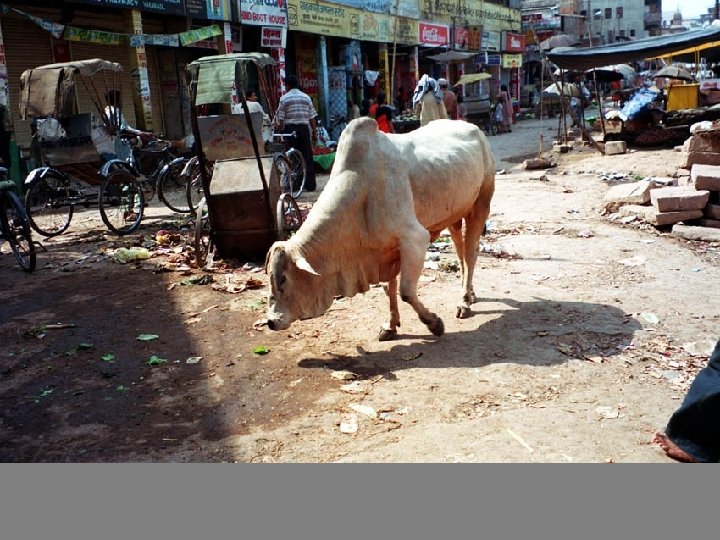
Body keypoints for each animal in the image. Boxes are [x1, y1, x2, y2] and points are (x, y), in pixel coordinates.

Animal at [266, 117, 495, 341]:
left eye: (283, 279)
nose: (270, 322)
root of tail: (474, 128)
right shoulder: (385, 251)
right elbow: (388, 288)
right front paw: (391, 325)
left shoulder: (415, 239)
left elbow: (406, 292)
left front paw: (434, 323)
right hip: (454, 216)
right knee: (460, 252)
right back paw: (470, 294)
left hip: (481, 204)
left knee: (470, 254)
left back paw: (464, 301)